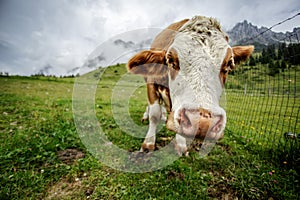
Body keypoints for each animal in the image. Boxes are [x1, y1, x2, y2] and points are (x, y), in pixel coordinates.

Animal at [126, 16, 253, 156]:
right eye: (171, 60)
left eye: (229, 64)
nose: (202, 122)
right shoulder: (151, 83)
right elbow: (154, 114)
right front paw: (148, 144)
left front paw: (181, 145)